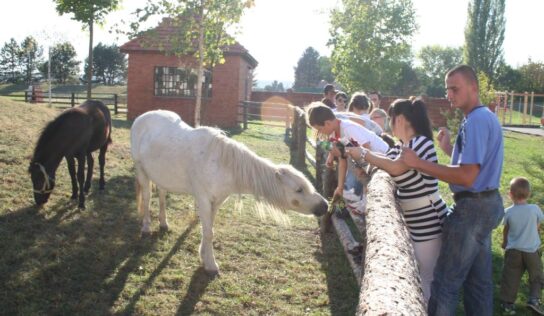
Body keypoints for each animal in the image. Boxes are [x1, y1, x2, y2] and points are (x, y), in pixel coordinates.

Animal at [132, 110, 328, 276]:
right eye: (299, 190)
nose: (325, 206)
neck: (222, 164)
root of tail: (142, 117)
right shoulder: (203, 200)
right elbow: (208, 232)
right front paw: (211, 265)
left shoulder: (217, 201)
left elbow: (209, 230)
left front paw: (204, 256)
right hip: (142, 171)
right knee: (147, 198)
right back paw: (146, 228)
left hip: (161, 176)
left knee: (162, 195)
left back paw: (164, 223)